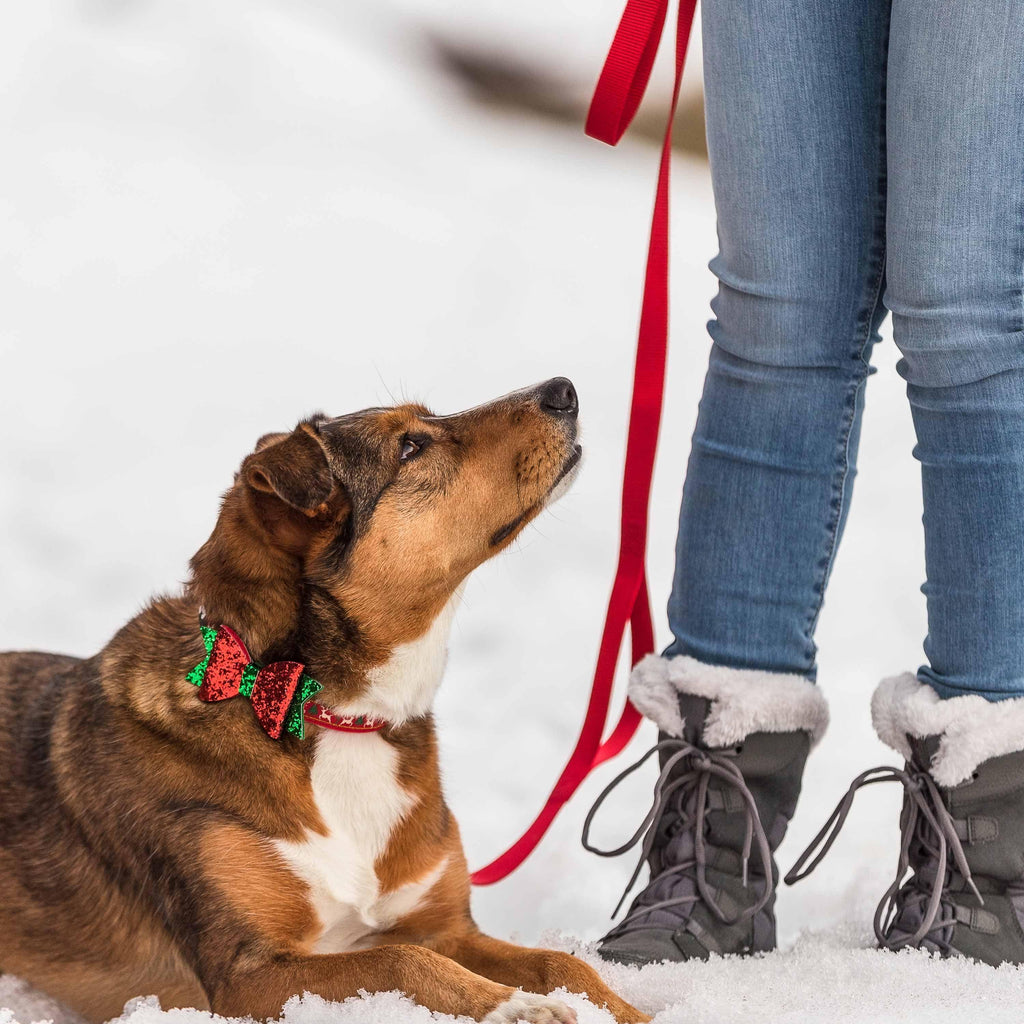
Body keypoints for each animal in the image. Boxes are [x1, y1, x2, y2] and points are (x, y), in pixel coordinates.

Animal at [0, 382, 647, 1024]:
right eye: (410, 447)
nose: (563, 389)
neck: (333, 715)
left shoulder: (447, 928)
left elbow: (561, 963)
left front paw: (635, 1010)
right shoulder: (247, 978)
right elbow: (404, 961)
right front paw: (515, 1006)